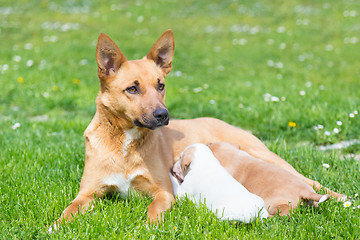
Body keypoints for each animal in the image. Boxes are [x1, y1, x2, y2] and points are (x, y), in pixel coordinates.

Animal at [52, 28, 344, 227]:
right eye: (132, 88)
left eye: (161, 85)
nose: (163, 115)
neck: (124, 142)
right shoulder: (88, 194)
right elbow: (68, 211)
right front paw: (55, 227)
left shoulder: (163, 193)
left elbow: (152, 211)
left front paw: (148, 227)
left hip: (268, 157)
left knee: (315, 182)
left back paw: (344, 199)